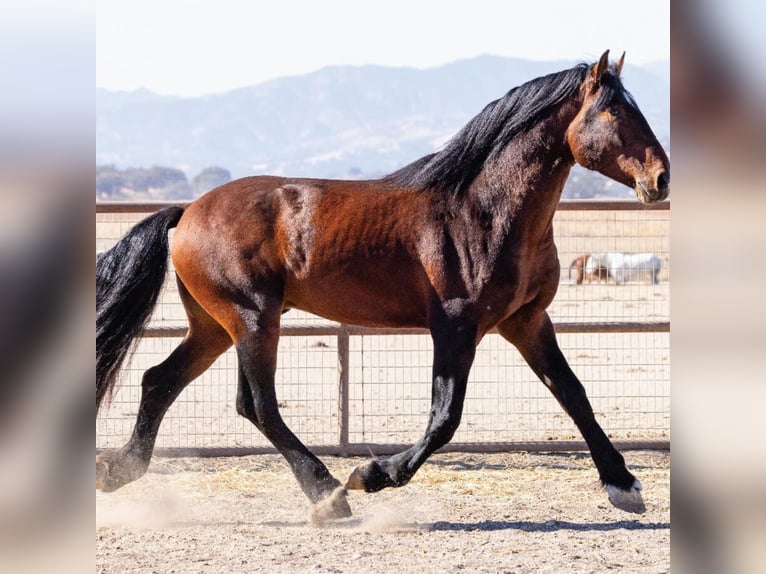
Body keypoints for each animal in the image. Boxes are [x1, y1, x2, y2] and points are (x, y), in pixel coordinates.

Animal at [97, 51, 672, 520]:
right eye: (614, 112)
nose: (661, 178)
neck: (483, 212)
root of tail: (187, 212)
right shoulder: (455, 327)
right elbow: (445, 418)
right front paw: (373, 475)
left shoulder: (526, 321)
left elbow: (574, 394)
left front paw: (624, 485)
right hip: (252, 318)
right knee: (255, 405)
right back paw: (329, 493)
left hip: (216, 326)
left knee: (159, 381)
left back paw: (117, 470)